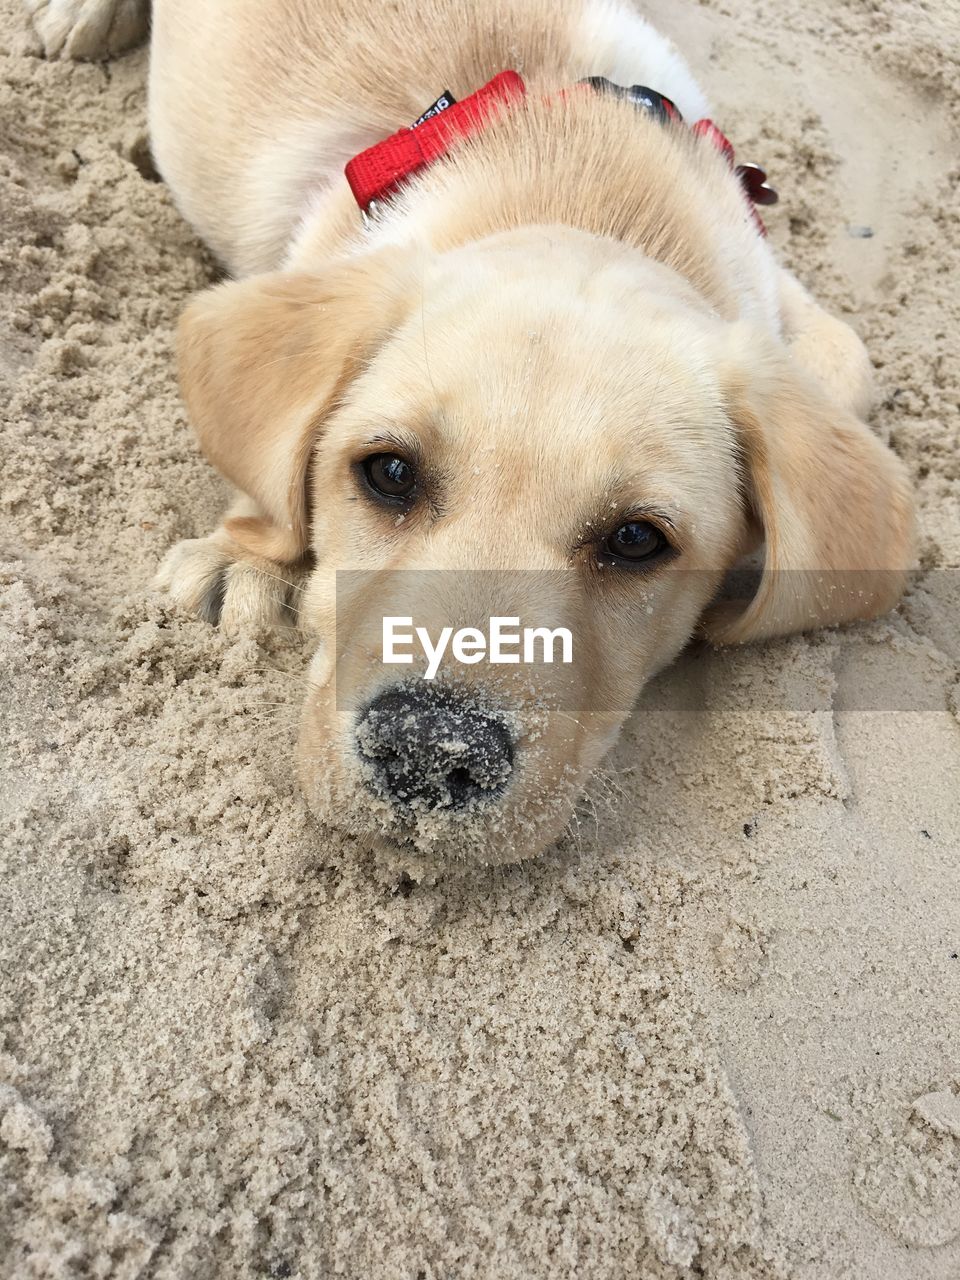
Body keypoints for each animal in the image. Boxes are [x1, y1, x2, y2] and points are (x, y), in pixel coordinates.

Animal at [28, 0, 916, 870]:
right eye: (388, 473)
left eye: (637, 540)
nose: (429, 752)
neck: (587, 185)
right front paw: (244, 555)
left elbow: (848, 359)